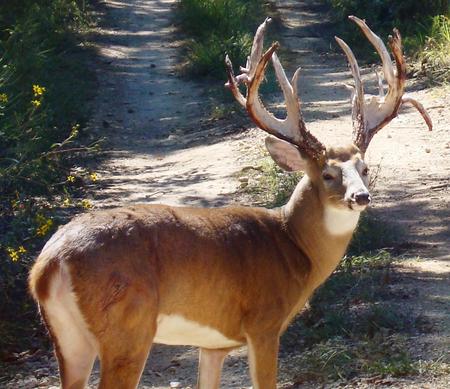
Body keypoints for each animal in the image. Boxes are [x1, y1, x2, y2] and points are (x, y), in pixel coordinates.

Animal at [29, 15, 432, 388]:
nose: (360, 196)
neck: (292, 244)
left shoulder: (215, 344)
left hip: (69, 337)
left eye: (364, 168)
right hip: (127, 326)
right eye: (328, 174)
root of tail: (49, 263)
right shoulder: (263, 322)